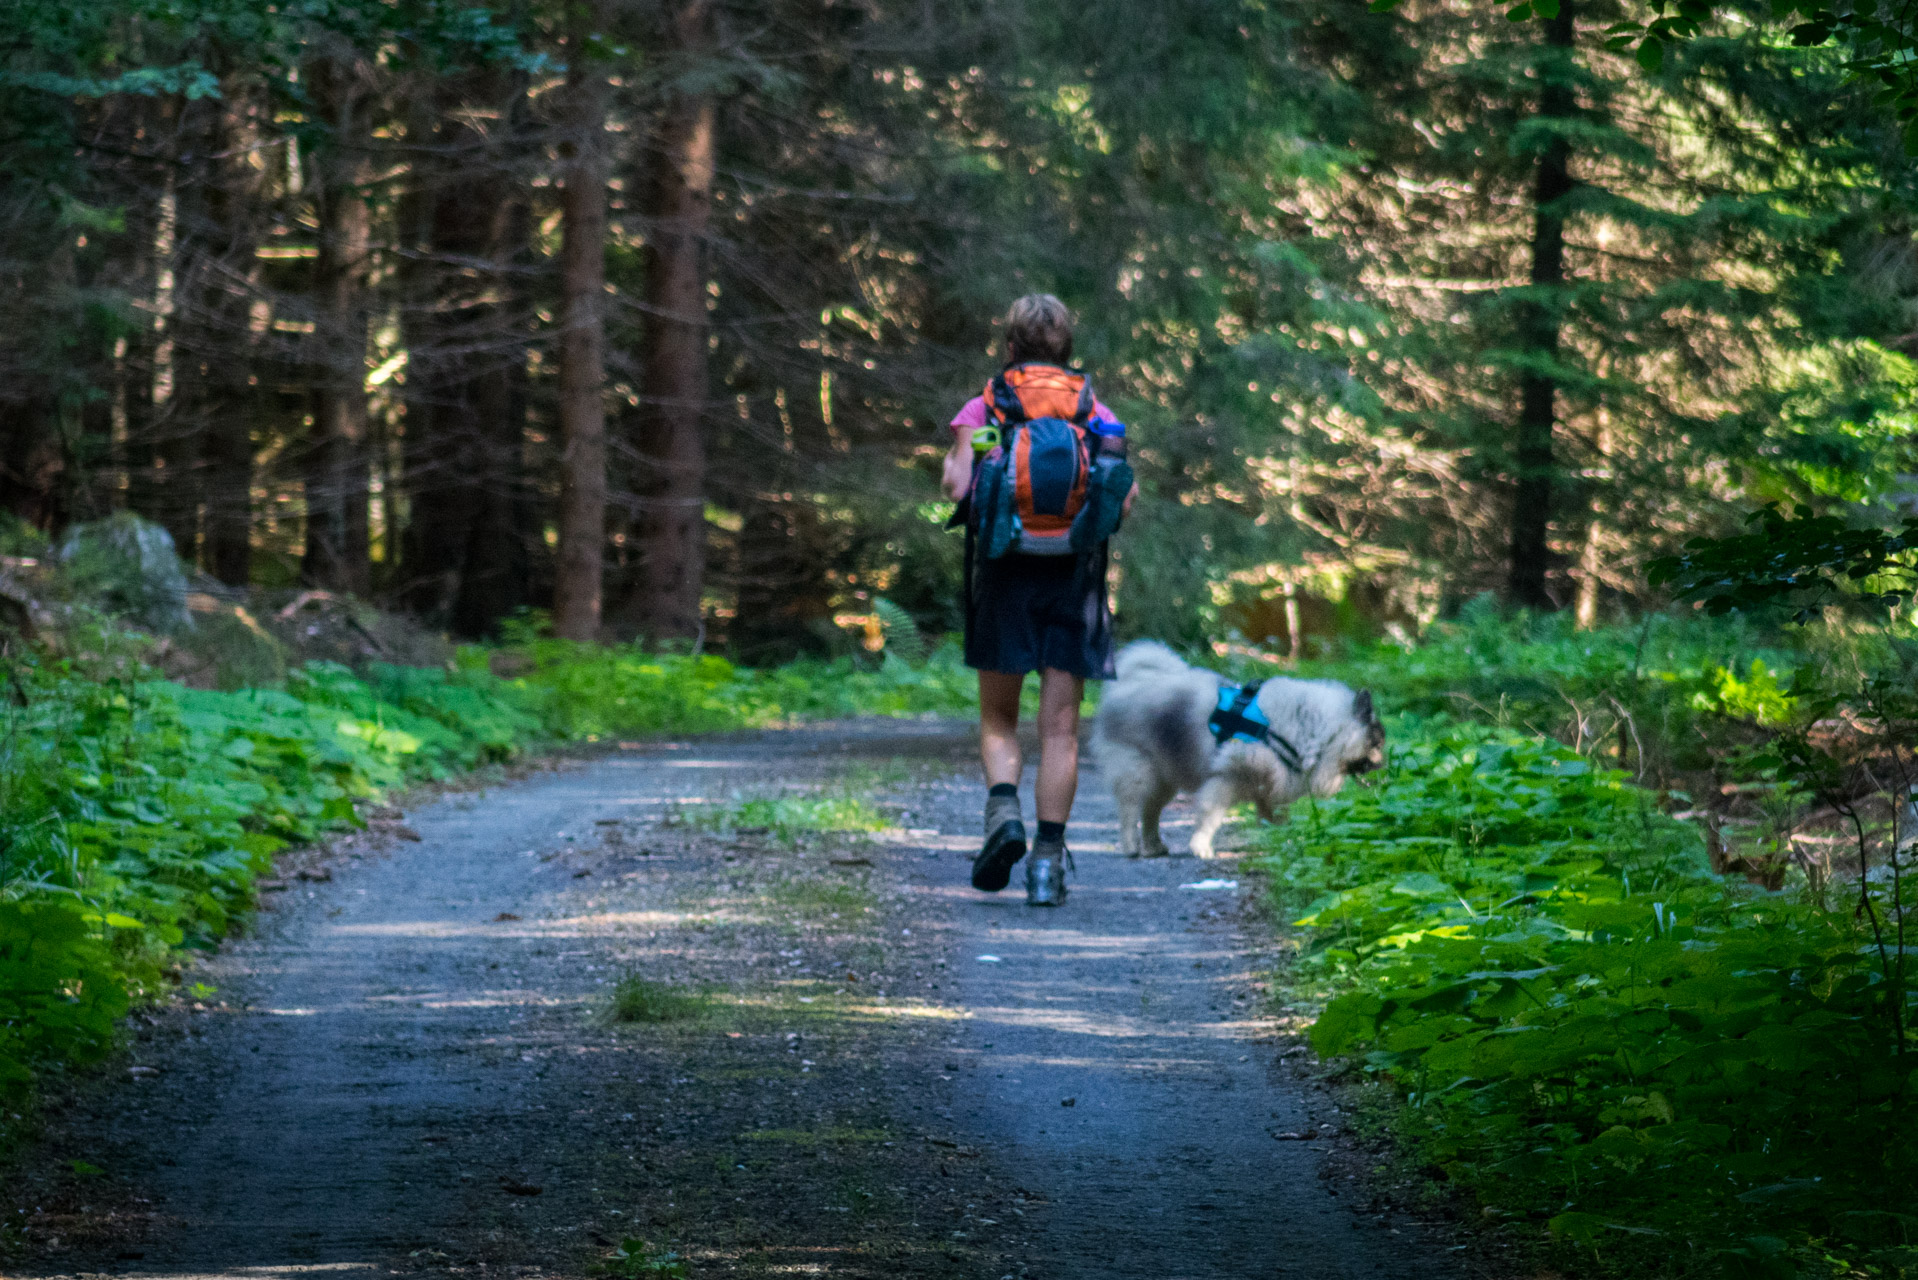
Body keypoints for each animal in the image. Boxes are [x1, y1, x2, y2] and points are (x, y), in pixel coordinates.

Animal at [1097, 640, 1380, 859]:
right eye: (1377, 743)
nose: (1383, 764)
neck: (1317, 730)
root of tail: (1129, 683)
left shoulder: (1271, 787)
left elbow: (1273, 818)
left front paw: (1281, 843)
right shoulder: (1227, 779)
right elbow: (1210, 815)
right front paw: (1201, 847)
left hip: (1164, 778)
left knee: (1150, 811)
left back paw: (1153, 846)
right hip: (1138, 772)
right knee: (1130, 810)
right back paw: (1131, 847)